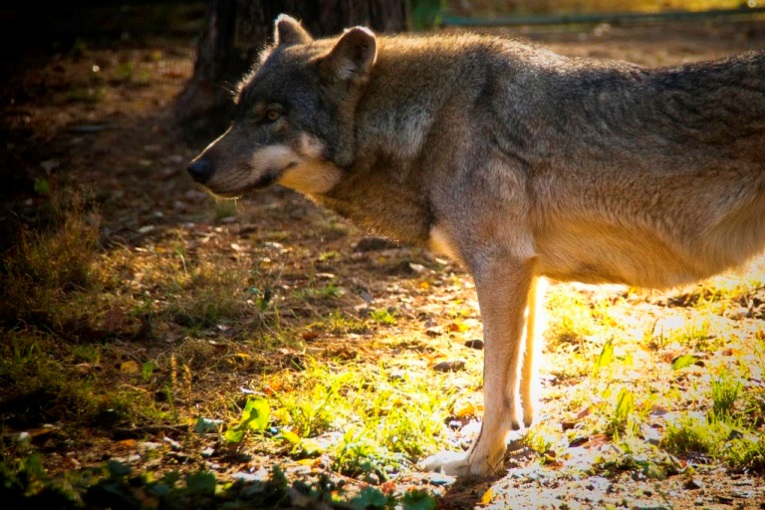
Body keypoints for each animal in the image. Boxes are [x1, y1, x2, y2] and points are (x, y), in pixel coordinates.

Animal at [188, 14, 764, 478]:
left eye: (273, 116)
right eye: (239, 111)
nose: (196, 169)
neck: (428, 125)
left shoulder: (500, 267)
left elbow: (491, 386)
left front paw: (476, 465)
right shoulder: (527, 275)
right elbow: (520, 379)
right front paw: (520, 433)